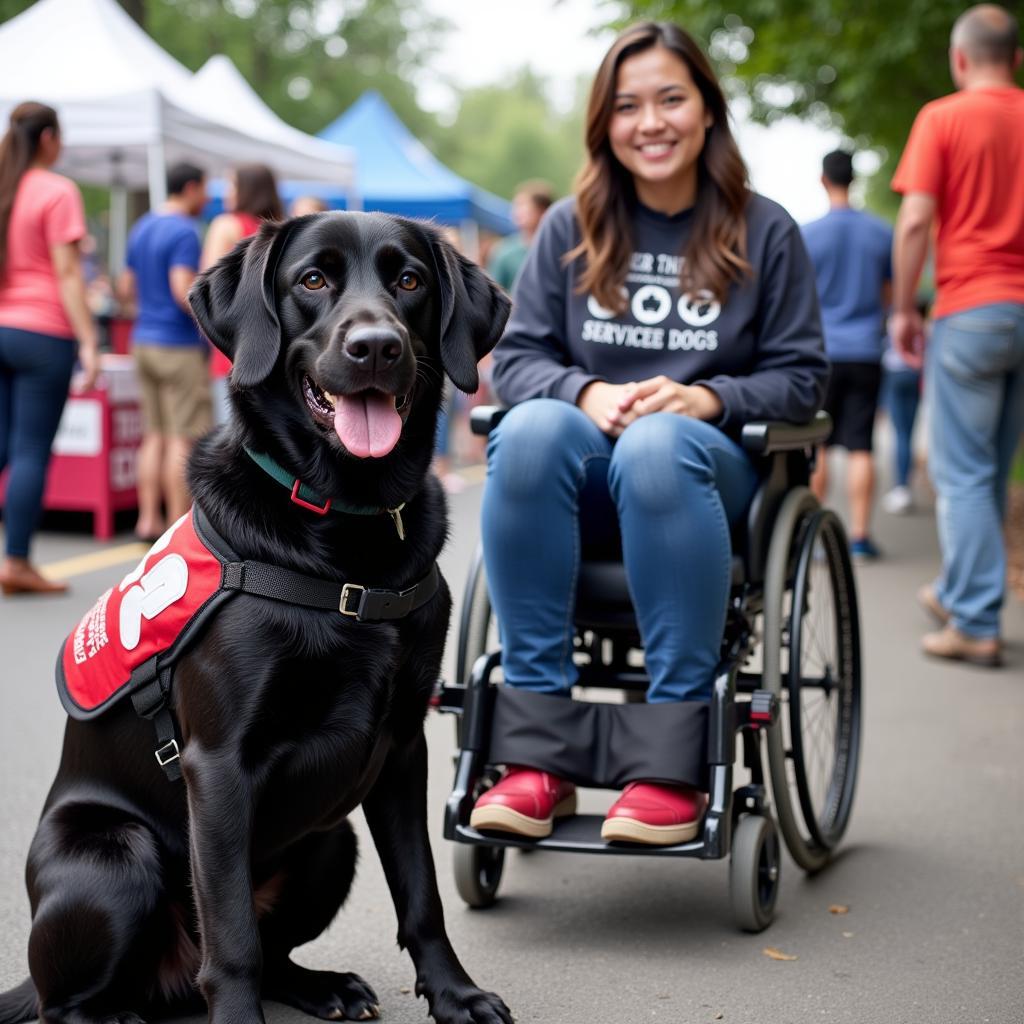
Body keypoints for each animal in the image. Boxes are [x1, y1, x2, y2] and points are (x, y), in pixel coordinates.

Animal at [0, 211, 512, 1019]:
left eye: (409, 280)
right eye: (313, 279)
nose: (376, 345)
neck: (346, 537)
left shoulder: (404, 750)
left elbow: (422, 894)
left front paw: (455, 995)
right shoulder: (217, 767)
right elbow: (232, 933)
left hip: (333, 840)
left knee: (274, 955)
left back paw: (324, 985)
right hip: (115, 859)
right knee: (71, 998)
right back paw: (113, 1009)